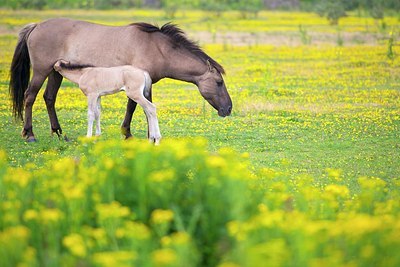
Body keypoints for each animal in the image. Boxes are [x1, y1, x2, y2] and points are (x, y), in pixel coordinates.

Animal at [9, 18, 231, 142]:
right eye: (219, 82)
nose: (228, 109)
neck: (157, 47)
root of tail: (36, 26)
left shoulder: (146, 84)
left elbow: (146, 107)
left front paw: (149, 135)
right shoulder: (134, 82)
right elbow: (133, 107)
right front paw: (129, 134)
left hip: (56, 72)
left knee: (49, 97)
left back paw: (56, 132)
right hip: (41, 70)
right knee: (30, 97)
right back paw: (29, 134)